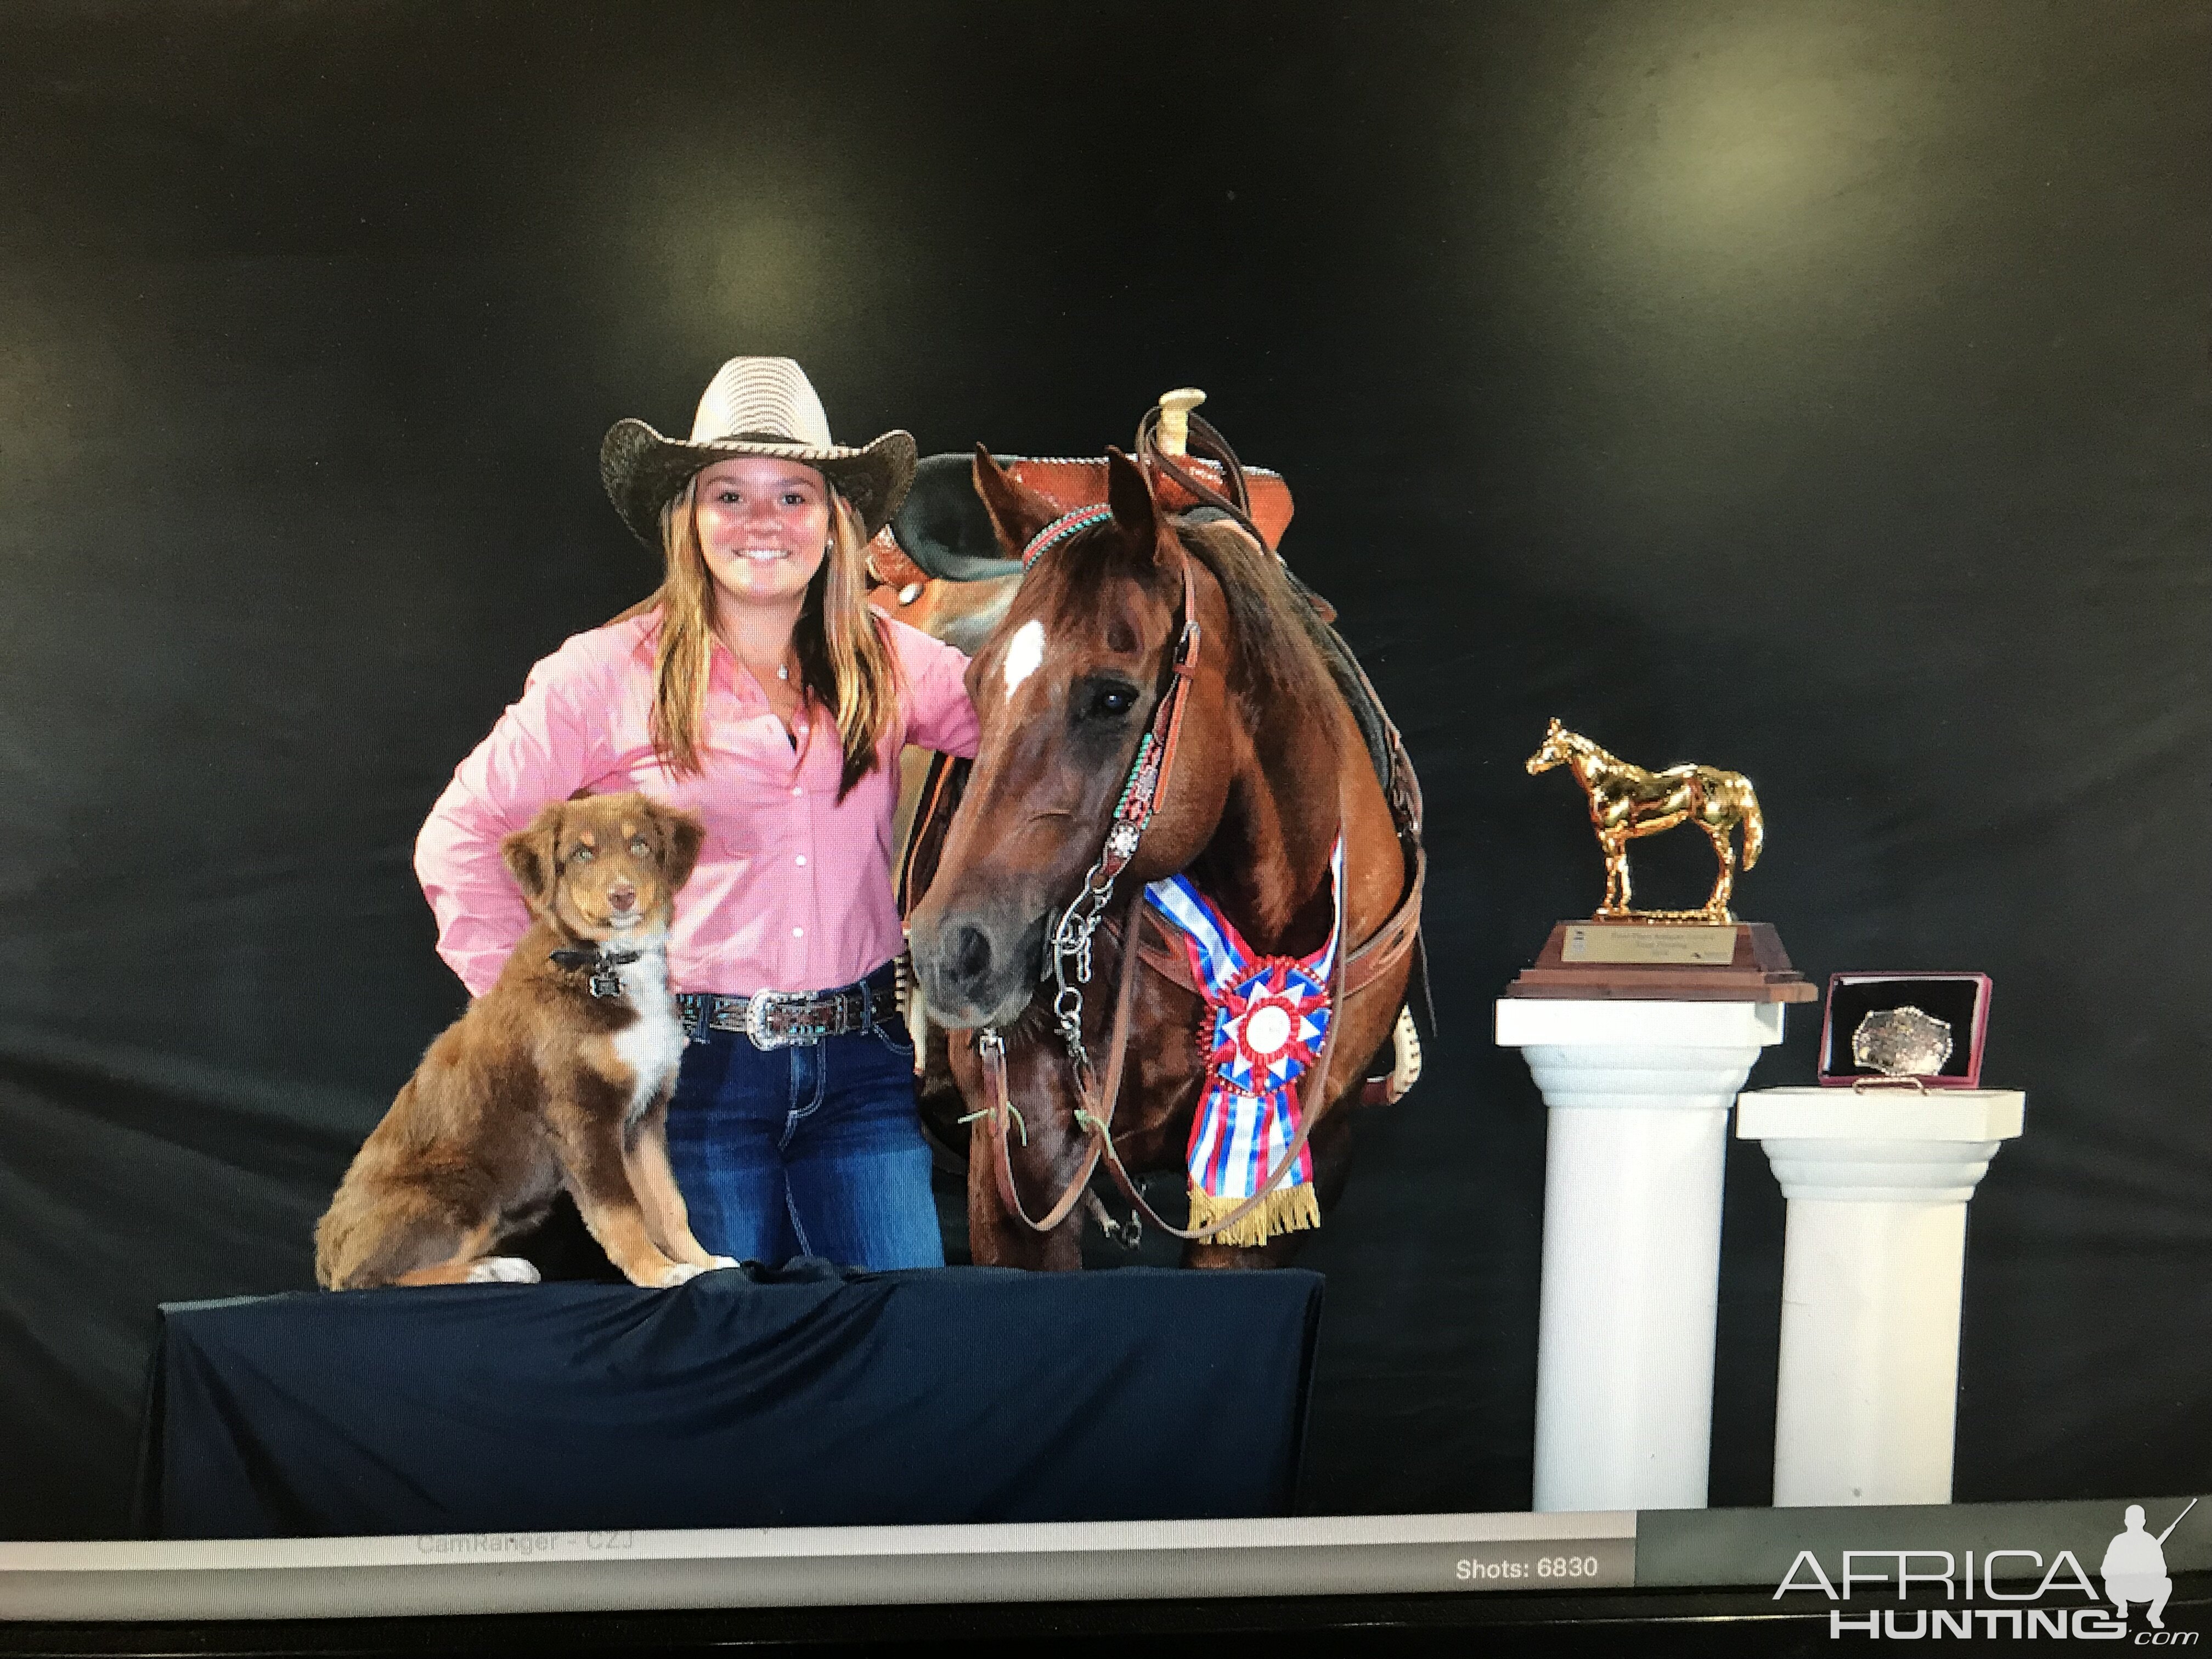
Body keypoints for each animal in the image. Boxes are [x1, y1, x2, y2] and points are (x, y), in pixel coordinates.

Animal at [316, 796, 730, 1300]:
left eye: (640, 845)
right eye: (582, 854)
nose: (623, 896)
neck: (604, 963)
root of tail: (323, 1258)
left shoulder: (644, 1118)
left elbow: (669, 1204)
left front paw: (704, 1263)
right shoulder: (581, 1115)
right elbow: (621, 1211)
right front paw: (657, 1273)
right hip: (463, 1184)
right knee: (370, 1279)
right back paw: (493, 1270)